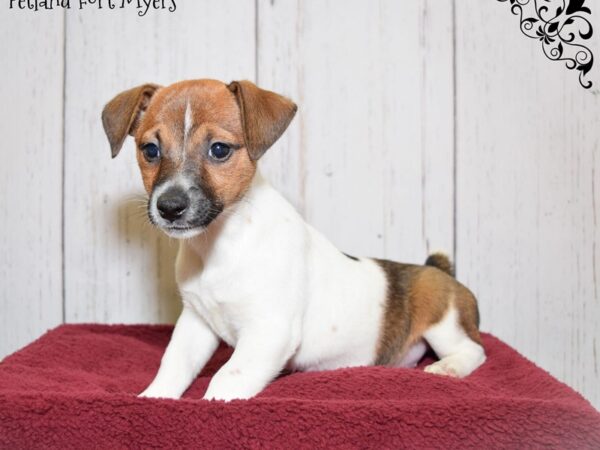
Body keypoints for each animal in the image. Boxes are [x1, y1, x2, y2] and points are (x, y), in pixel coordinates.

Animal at [102, 77, 488, 400]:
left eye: (219, 150)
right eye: (150, 151)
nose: (169, 207)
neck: (220, 246)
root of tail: (439, 269)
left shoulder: (269, 330)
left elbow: (226, 378)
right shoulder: (196, 323)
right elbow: (174, 364)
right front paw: (153, 398)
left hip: (444, 321)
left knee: (475, 350)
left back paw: (448, 367)